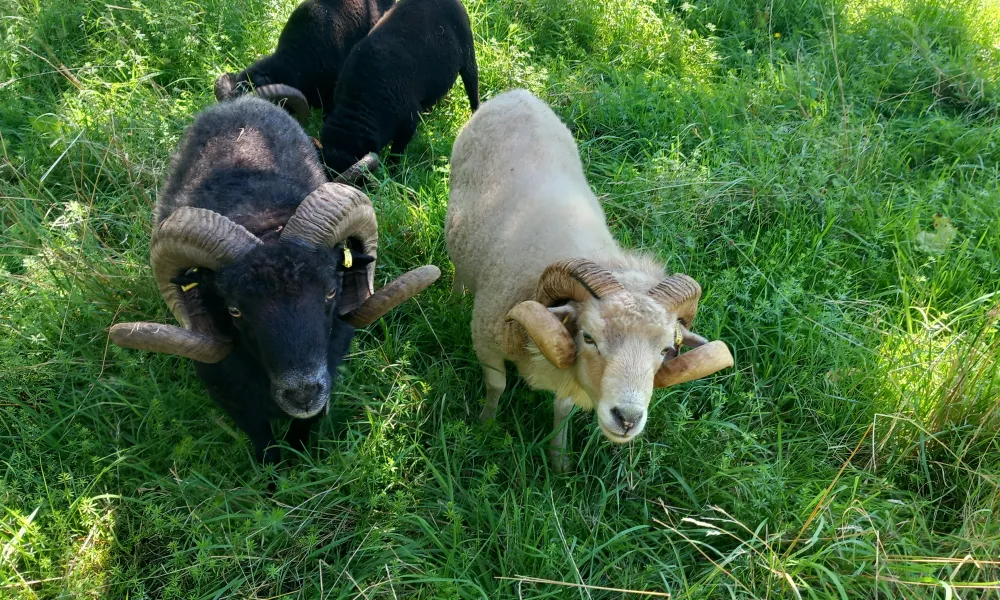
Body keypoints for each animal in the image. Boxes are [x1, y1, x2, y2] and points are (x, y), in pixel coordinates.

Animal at [110, 96, 440, 464]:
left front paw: (299, 460)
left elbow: (303, 428)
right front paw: (274, 471)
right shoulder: (232, 396)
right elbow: (262, 440)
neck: (262, 220)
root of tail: (241, 99)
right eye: (234, 310)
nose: (303, 393)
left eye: (330, 292)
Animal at [445, 90, 733, 471]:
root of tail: (516, 94)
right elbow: (497, 387)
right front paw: (484, 425)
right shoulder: (486, 340)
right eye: (588, 337)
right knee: (460, 269)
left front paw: (559, 460)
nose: (627, 418)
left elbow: (562, 410)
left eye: (667, 350)